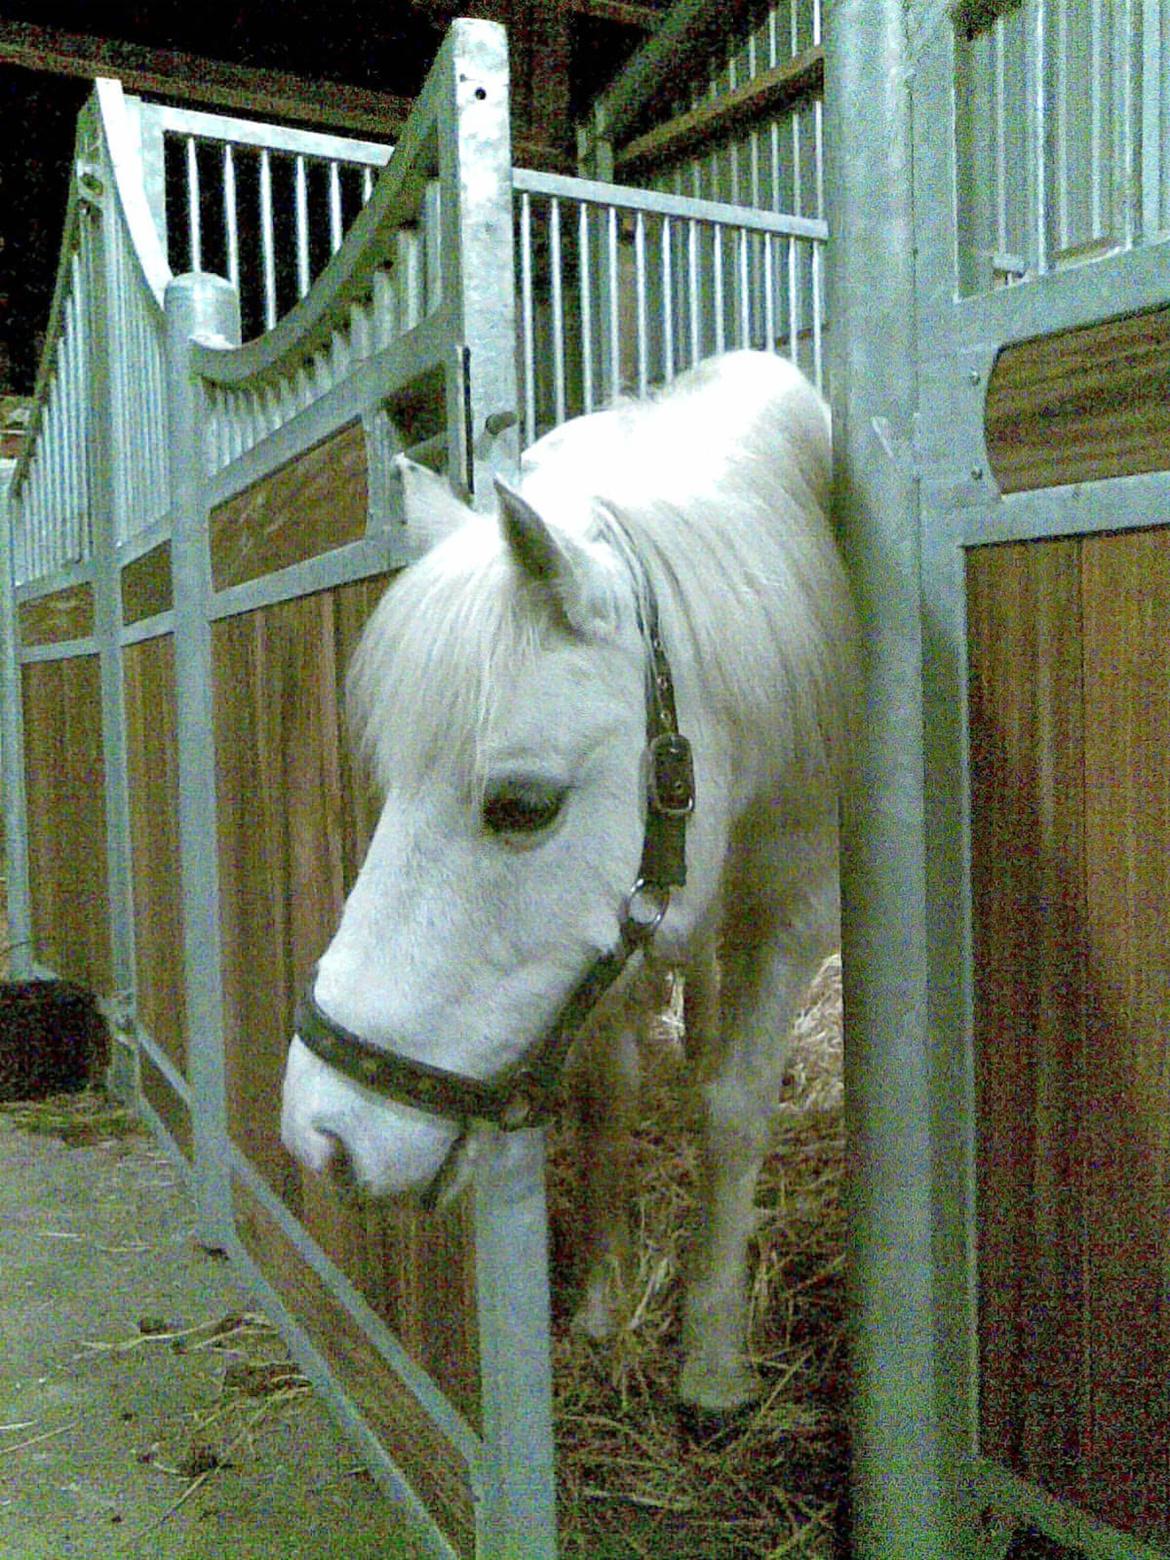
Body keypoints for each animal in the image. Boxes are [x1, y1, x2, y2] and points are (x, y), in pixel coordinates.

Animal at [280, 349, 857, 1420]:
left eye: (522, 806)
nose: (320, 1135)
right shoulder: (613, 951)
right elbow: (609, 1095)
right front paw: (601, 1294)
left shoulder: (795, 913)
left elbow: (735, 1107)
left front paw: (712, 1359)